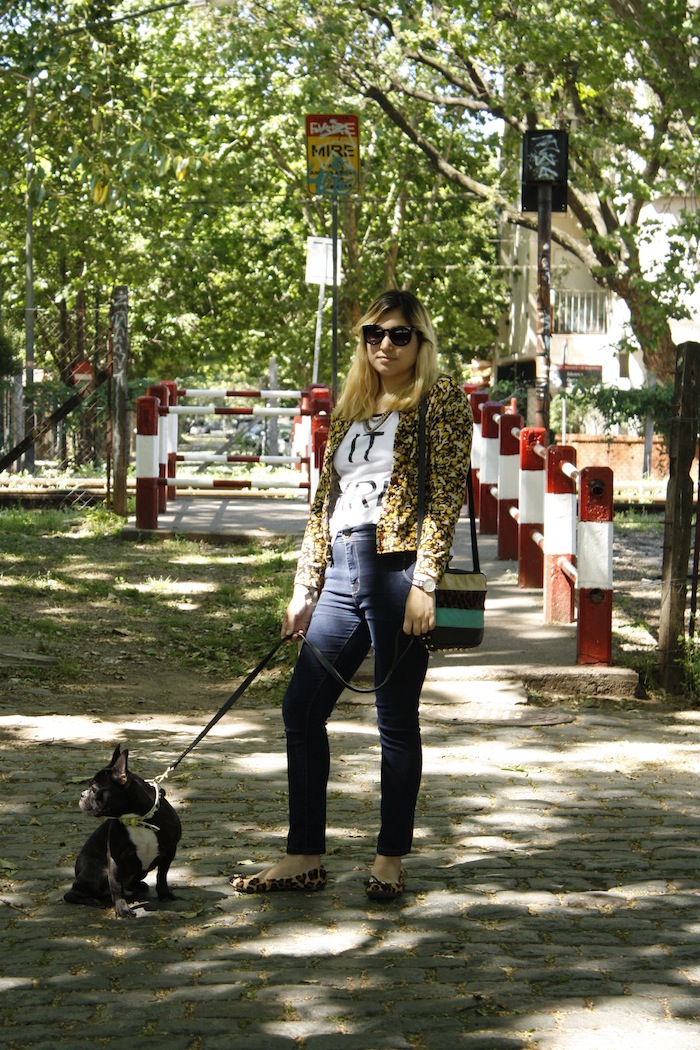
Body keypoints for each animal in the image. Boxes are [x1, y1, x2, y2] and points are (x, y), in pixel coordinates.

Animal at [65, 744, 182, 919]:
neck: (137, 820)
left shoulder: (169, 851)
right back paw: (95, 900)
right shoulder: (115, 858)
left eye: (94, 789)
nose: (82, 794)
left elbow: (162, 875)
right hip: (99, 873)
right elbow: (116, 885)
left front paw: (164, 894)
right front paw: (122, 909)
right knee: (71, 894)